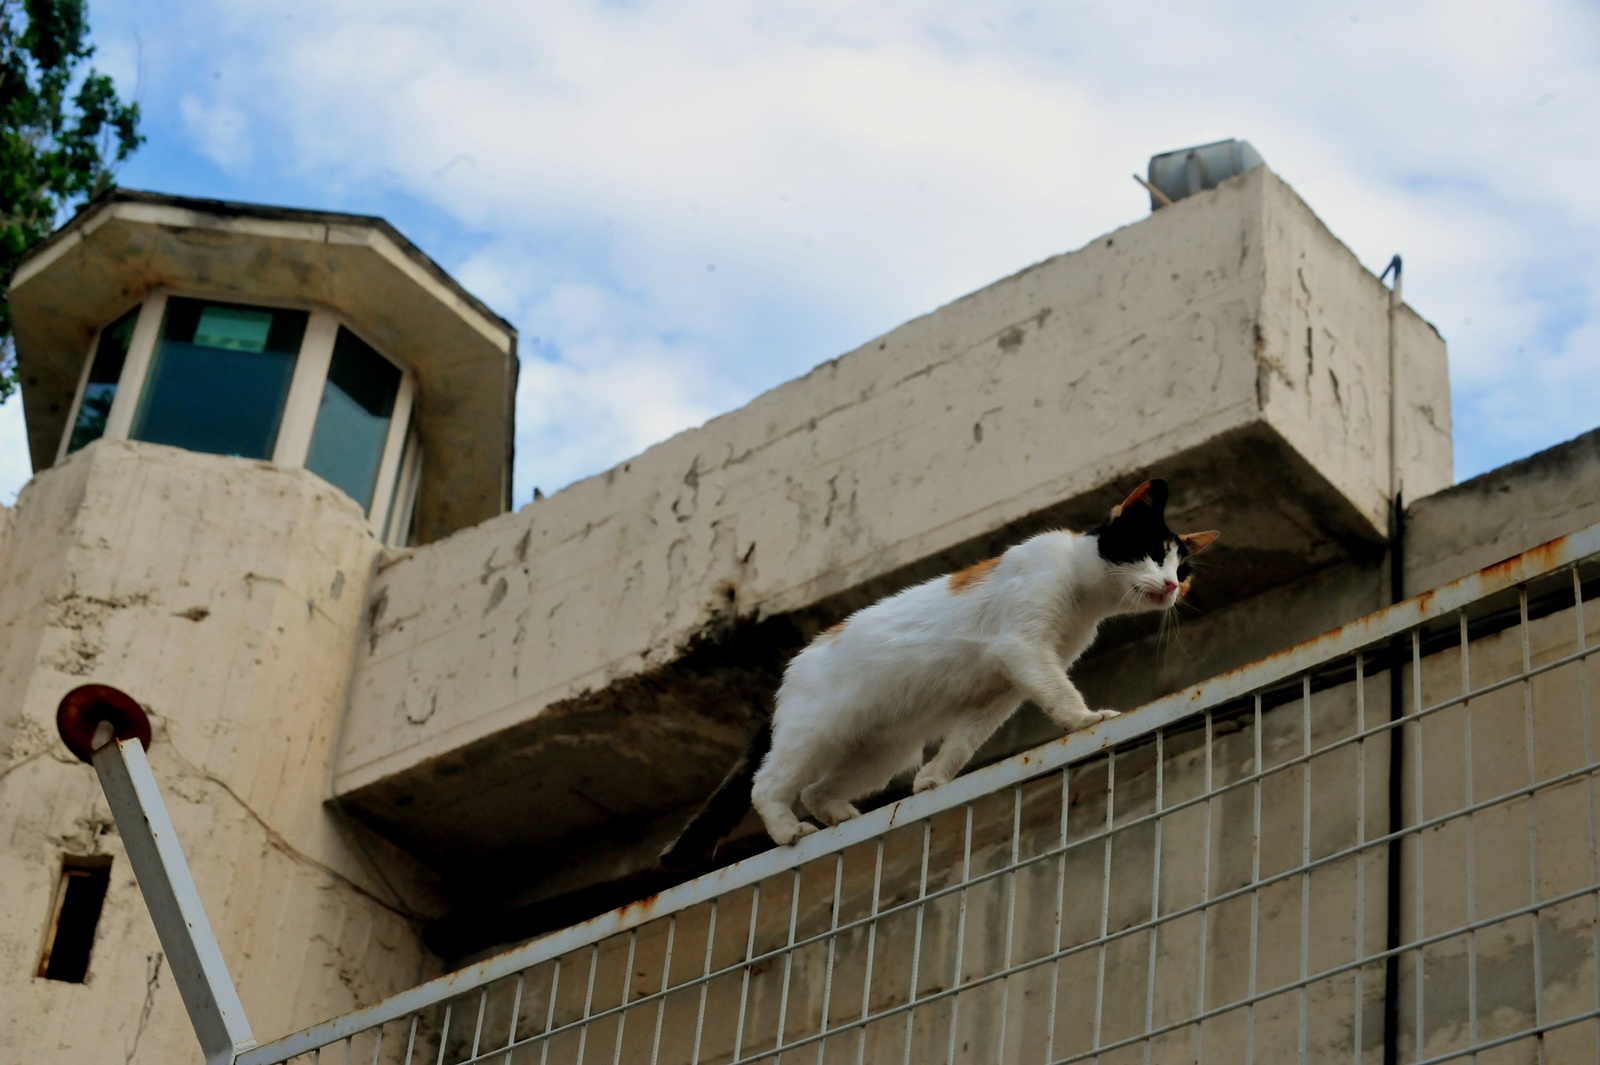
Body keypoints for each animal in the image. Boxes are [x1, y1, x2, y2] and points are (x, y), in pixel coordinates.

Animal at [656, 476, 1216, 869]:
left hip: (879, 753)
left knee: (817, 790)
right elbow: (1060, 693)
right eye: (1151, 554)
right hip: (812, 733)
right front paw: (1084, 720)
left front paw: (934, 779)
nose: (1172, 587)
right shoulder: (1023, 648)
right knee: (766, 783)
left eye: (1182, 572)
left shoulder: (1002, 688)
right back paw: (789, 830)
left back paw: (842, 816)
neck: (1083, 596)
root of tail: (788, 674)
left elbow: (964, 741)